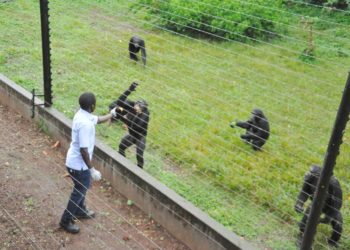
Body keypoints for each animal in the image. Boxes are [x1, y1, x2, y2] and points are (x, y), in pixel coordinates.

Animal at [0, 0, 350, 249]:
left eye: (145, 107)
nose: (138, 105)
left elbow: (135, 115)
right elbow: (122, 105)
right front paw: (125, 98)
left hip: (139, 141)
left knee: (138, 147)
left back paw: (137, 162)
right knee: (127, 143)